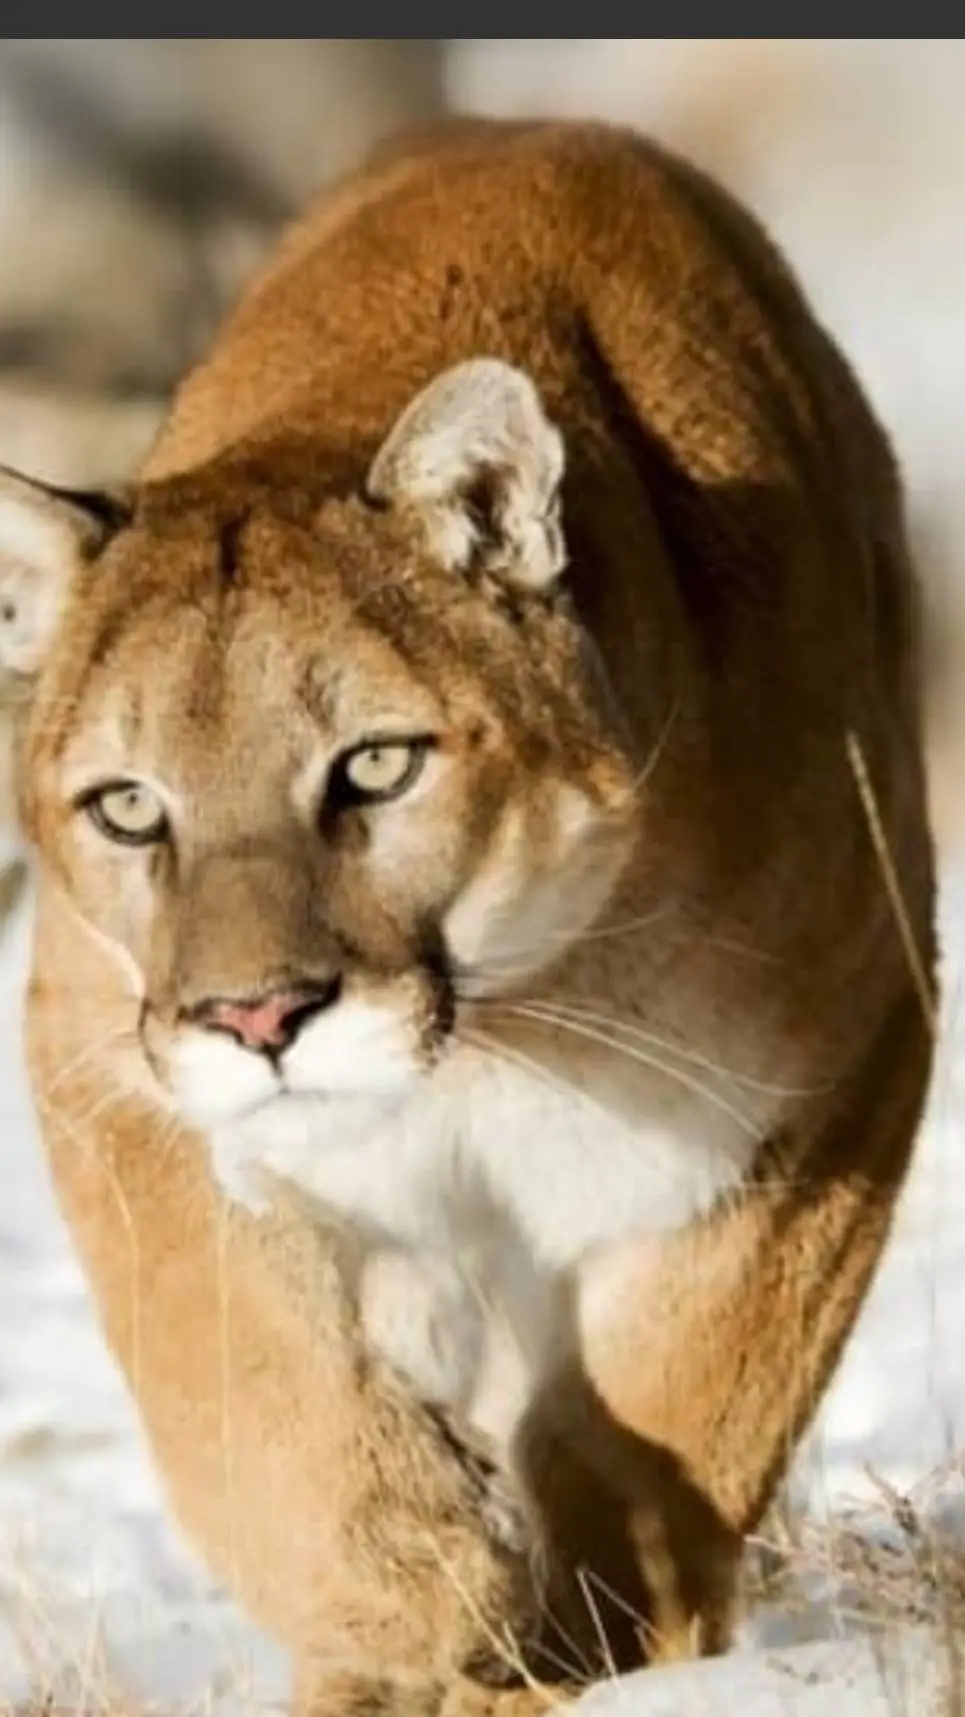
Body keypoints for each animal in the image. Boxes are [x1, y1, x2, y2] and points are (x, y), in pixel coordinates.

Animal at [0, 119, 936, 1714]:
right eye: (127, 808)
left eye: (375, 766)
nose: (258, 1017)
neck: (494, 1038)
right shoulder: (103, 1061)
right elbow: (244, 1380)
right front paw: (416, 1611)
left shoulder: (844, 1052)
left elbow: (692, 1387)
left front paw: (598, 1641)